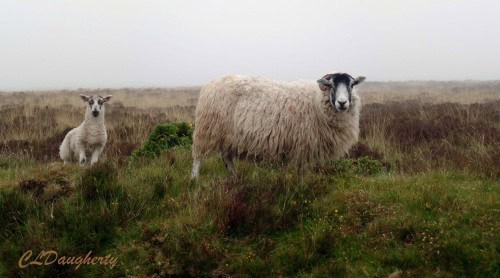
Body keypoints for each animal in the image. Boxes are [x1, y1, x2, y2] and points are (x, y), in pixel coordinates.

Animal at [189, 73, 366, 179]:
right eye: (331, 85)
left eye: (351, 85)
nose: (342, 103)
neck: (316, 102)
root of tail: (209, 84)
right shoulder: (302, 145)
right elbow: (300, 170)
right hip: (209, 128)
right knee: (198, 156)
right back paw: (195, 178)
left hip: (229, 134)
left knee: (226, 157)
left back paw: (235, 177)